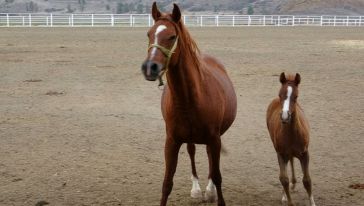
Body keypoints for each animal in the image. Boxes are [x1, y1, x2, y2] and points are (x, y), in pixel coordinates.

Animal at [141, 2, 237, 206]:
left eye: (172, 36)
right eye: (149, 34)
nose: (149, 67)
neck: (191, 99)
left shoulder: (215, 139)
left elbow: (217, 176)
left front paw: (215, 193)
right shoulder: (171, 141)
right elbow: (167, 183)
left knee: (210, 159)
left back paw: (209, 191)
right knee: (192, 151)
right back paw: (196, 189)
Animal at [264, 73, 316, 206]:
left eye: (296, 96)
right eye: (280, 94)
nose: (285, 117)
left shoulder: (305, 153)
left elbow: (307, 180)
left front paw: (312, 202)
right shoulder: (281, 154)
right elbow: (284, 179)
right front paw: (288, 199)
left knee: (292, 160)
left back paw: (293, 183)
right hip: (281, 152)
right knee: (287, 167)